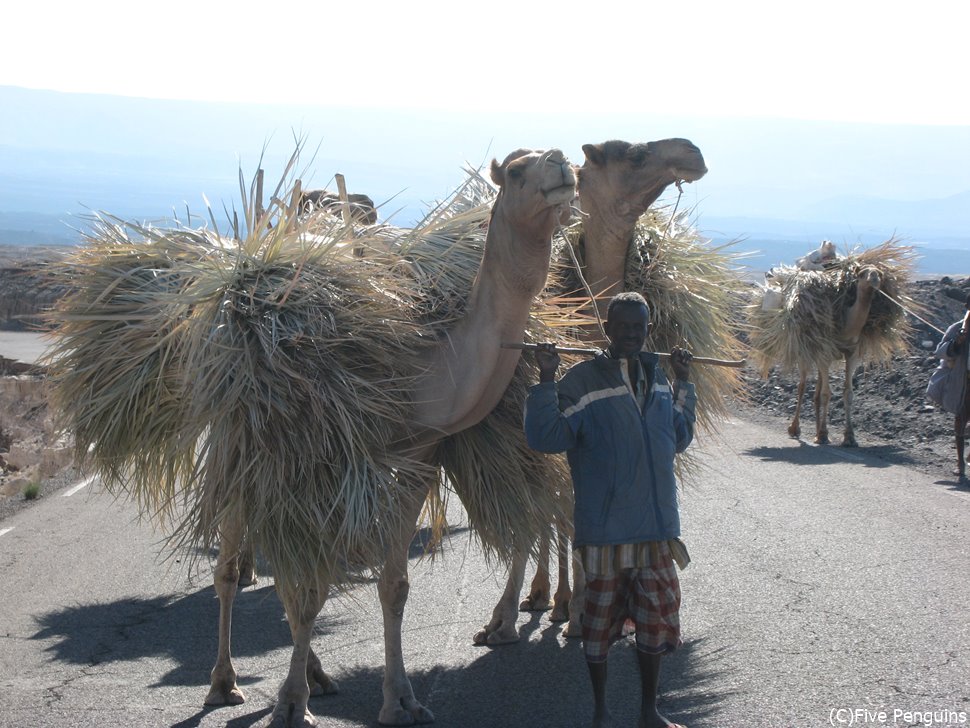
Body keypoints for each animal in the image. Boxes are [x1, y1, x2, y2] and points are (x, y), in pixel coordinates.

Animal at [201, 145, 576, 724]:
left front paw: (400, 698)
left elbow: (392, 585)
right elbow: (311, 588)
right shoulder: (327, 462)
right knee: (231, 567)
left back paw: (317, 674)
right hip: (242, 449)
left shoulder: (416, 461)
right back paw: (224, 682)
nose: (562, 164)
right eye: (515, 171)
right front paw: (290, 703)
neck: (421, 371)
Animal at [472, 136, 708, 644]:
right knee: (548, 512)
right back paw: (543, 595)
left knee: (558, 511)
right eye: (632, 153)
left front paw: (583, 609)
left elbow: (572, 508)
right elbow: (539, 512)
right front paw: (502, 619)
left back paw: (557, 598)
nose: (691, 152)